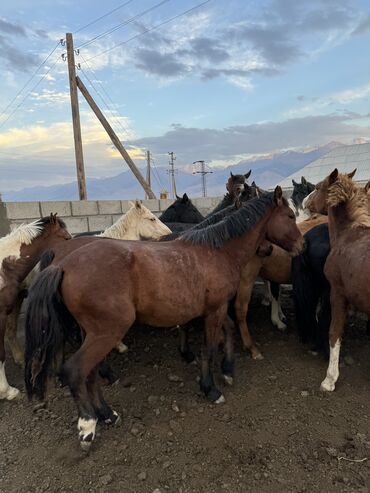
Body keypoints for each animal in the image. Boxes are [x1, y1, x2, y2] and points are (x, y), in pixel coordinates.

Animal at [23, 188, 304, 450]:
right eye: (290, 216)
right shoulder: (214, 311)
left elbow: (230, 330)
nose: (301, 247)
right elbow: (209, 348)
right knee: (76, 370)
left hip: (90, 333)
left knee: (91, 373)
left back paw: (107, 414)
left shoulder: (213, 309)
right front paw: (210, 388)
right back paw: (88, 426)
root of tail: (63, 264)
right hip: (107, 332)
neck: (217, 251)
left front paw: (227, 370)